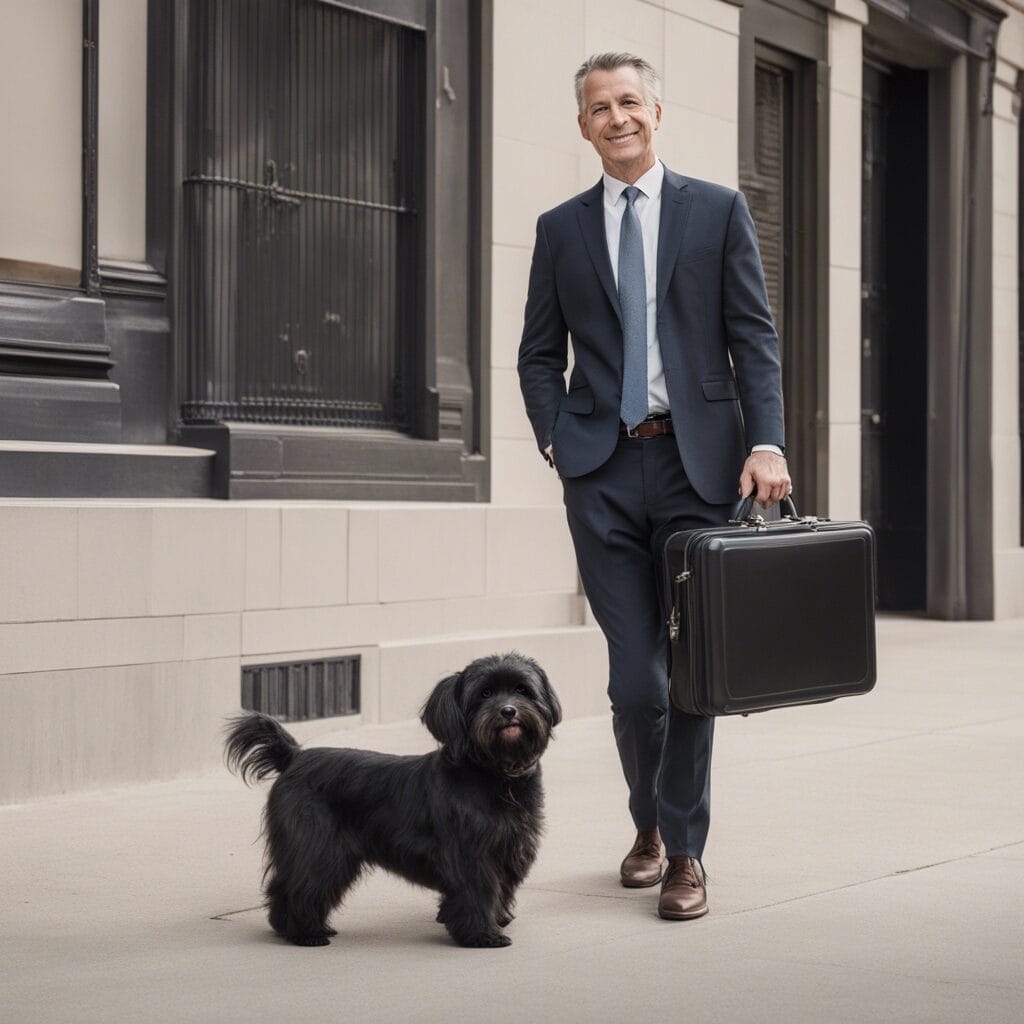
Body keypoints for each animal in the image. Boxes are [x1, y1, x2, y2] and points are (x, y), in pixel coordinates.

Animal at [224, 651, 561, 946]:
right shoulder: (472, 855)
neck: (495, 771)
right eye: (485, 693)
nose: (508, 711)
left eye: (522, 690)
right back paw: (303, 933)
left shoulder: (509, 847)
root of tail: (293, 757)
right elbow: (478, 891)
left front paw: (497, 919)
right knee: (296, 887)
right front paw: (482, 934)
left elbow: (500, 889)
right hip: (318, 847)